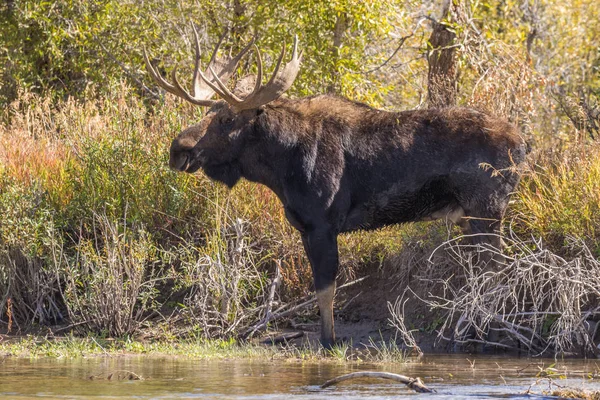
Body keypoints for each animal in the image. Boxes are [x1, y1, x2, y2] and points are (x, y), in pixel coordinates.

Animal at [145, 28, 524, 346]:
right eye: (208, 114)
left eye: (226, 119)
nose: (177, 149)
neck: (282, 167)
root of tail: (523, 144)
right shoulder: (303, 227)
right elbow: (319, 288)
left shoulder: (323, 224)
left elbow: (327, 289)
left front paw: (329, 341)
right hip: (471, 217)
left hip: (487, 208)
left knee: (498, 268)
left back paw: (490, 332)